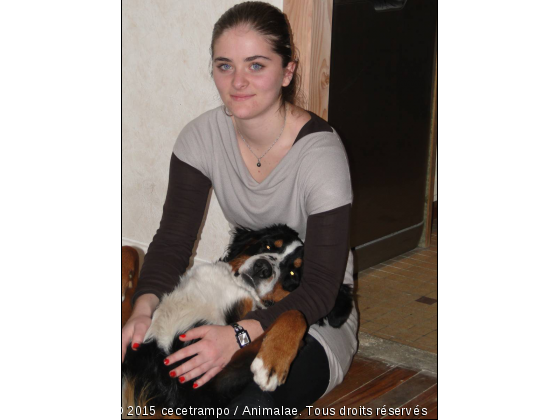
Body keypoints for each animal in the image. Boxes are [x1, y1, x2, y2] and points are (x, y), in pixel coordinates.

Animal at [122, 223, 352, 416]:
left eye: (294, 273)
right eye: (268, 245)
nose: (262, 267)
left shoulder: (205, 386)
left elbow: (294, 314)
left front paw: (271, 364)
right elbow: (130, 252)